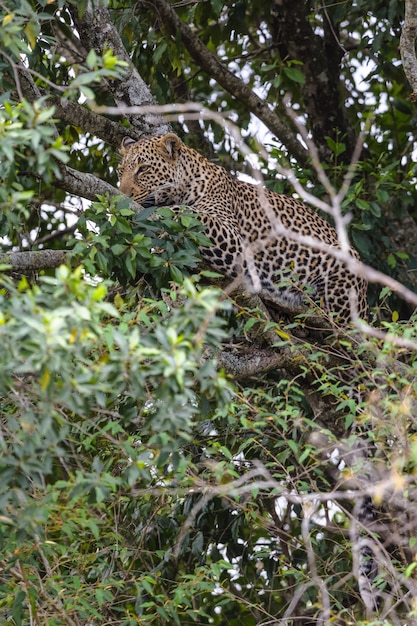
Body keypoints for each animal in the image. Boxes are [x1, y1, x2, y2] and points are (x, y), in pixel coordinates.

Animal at [117, 131, 368, 322]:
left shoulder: (235, 241)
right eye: (121, 171)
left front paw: (162, 213)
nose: (123, 195)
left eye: (143, 169)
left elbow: (189, 213)